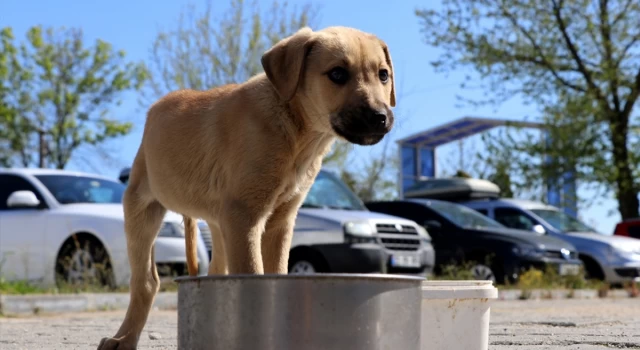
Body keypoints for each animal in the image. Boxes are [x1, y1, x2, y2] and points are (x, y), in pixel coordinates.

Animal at [97, 26, 396, 348]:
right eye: (338, 74)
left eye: (383, 75)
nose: (380, 118)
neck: (296, 131)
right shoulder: (246, 217)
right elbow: (253, 275)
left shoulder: (278, 222)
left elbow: (276, 273)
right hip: (142, 207)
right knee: (145, 282)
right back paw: (123, 338)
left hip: (218, 222)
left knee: (215, 271)